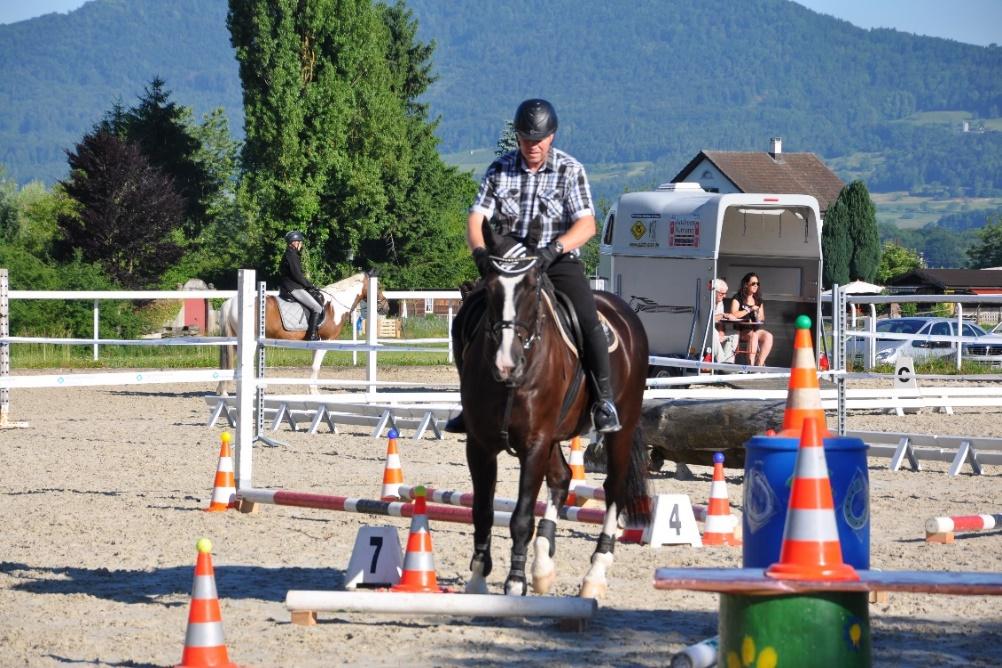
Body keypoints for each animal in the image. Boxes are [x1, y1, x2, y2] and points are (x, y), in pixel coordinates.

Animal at [217, 268, 388, 394]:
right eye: (378, 287)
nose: (385, 307)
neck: (334, 306)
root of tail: (230, 302)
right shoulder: (326, 341)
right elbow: (316, 367)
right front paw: (314, 392)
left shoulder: (315, 342)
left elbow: (313, 366)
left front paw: (311, 391)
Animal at [456, 224, 649, 600]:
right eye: (490, 287)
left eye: (532, 286)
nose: (506, 364)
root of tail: (624, 311)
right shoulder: (480, 445)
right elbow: (482, 511)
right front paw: (478, 581)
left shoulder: (535, 442)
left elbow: (521, 517)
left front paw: (515, 583)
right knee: (562, 478)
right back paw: (543, 567)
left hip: (621, 428)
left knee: (613, 489)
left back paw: (594, 576)